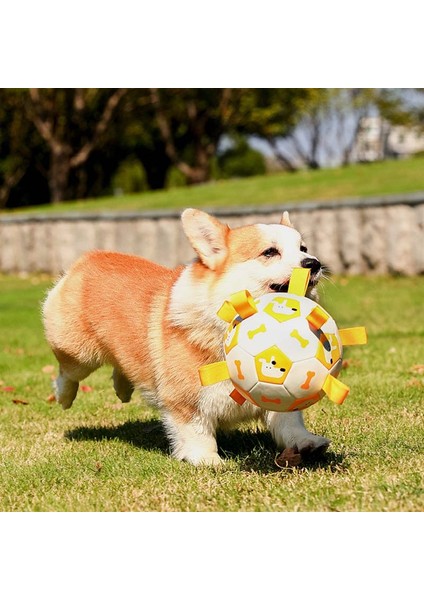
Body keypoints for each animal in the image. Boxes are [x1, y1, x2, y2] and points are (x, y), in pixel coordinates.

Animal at [42, 209, 332, 466]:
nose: (315, 263)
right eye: (269, 252)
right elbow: (196, 431)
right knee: (67, 372)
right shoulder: (185, 401)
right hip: (78, 352)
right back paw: (64, 396)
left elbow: (289, 423)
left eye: (303, 248)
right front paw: (207, 459)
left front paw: (306, 443)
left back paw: (122, 389)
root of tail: (88, 257)